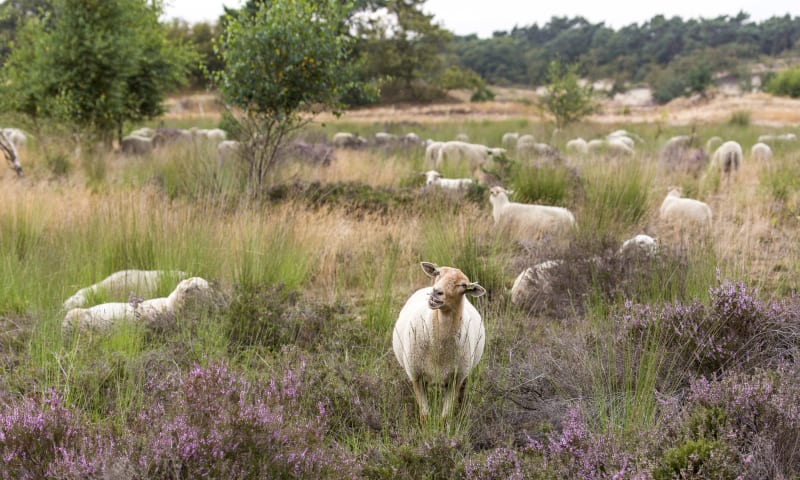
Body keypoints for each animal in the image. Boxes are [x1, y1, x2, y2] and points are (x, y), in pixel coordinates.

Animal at [390, 260, 484, 422]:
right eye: (438, 273)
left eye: (463, 285)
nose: (436, 292)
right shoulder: (416, 375)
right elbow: (424, 415)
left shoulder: (455, 378)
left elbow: (445, 417)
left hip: (464, 373)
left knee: (462, 393)